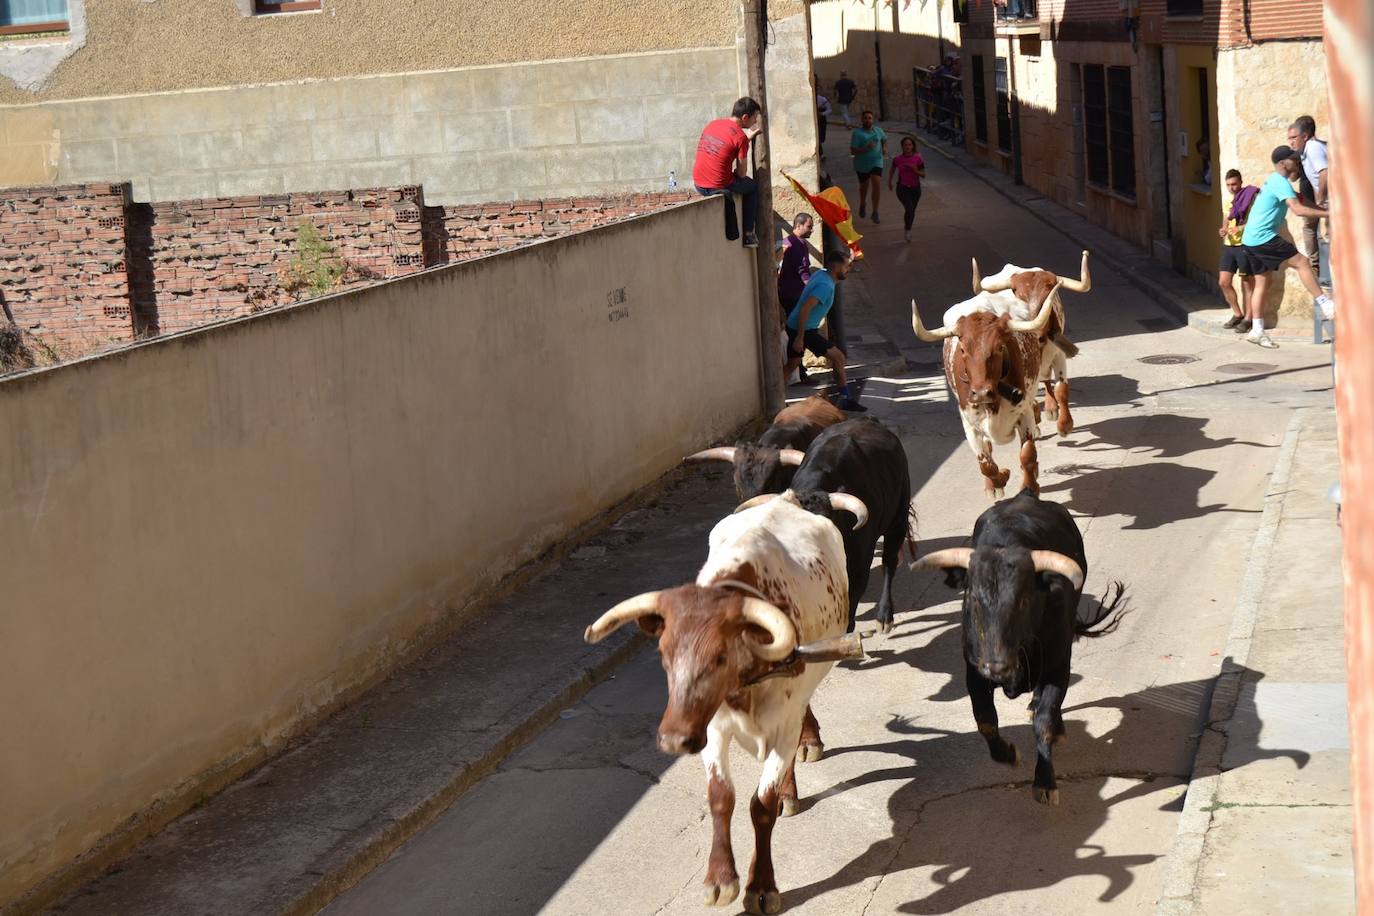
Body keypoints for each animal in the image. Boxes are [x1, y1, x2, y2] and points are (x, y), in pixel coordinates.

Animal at [582, 486, 862, 911]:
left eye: (720, 657)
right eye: (663, 654)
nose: (673, 739)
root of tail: (786, 497)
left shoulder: (782, 725)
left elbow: (761, 805)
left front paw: (761, 886)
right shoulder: (711, 727)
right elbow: (720, 797)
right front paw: (720, 878)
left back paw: (796, 772)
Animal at [912, 287, 1060, 502]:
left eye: (999, 347)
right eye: (962, 349)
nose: (981, 393)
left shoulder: (1023, 413)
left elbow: (1027, 455)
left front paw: (1030, 486)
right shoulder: (969, 422)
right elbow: (986, 464)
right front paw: (1000, 479)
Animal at [912, 491, 1126, 807]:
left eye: (1023, 600)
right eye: (972, 598)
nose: (997, 667)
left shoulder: (1057, 666)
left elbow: (1044, 721)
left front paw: (1045, 783)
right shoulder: (974, 672)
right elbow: (985, 720)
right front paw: (1008, 754)